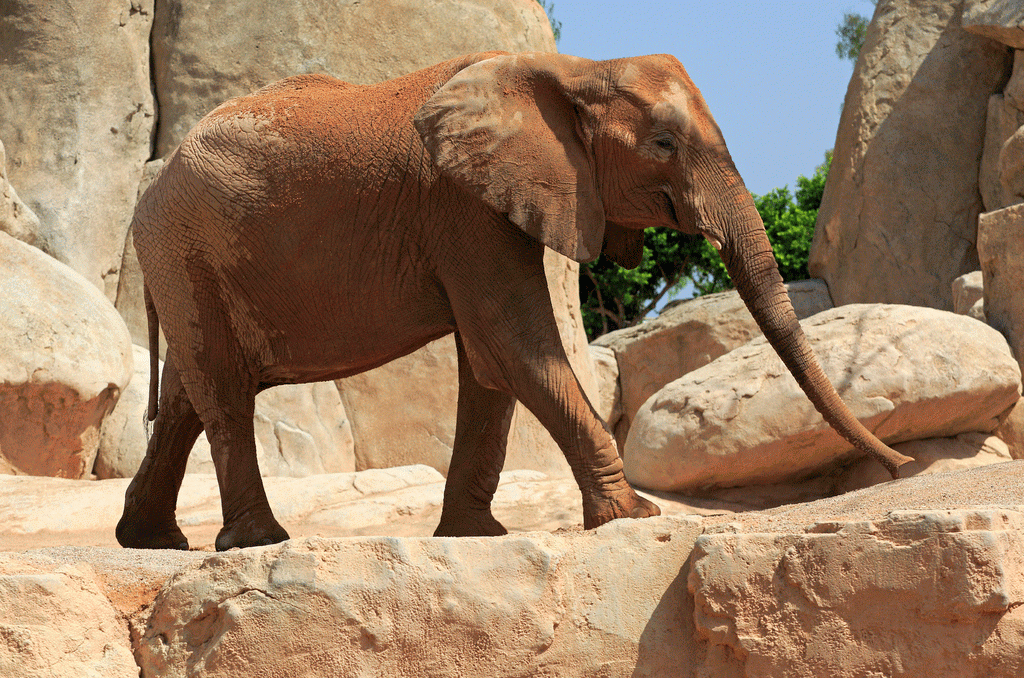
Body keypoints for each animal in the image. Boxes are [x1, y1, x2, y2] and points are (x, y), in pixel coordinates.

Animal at [114, 51, 913, 553]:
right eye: (661, 143)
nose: (905, 466)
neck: (573, 70)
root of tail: (145, 195)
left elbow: (491, 365)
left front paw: (477, 537)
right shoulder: (460, 205)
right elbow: (514, 345)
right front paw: (636, 515)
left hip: (187, 264)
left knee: (187, 395)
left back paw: (151, 541)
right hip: (185, 253)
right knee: (223, 391)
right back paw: (257, 540)